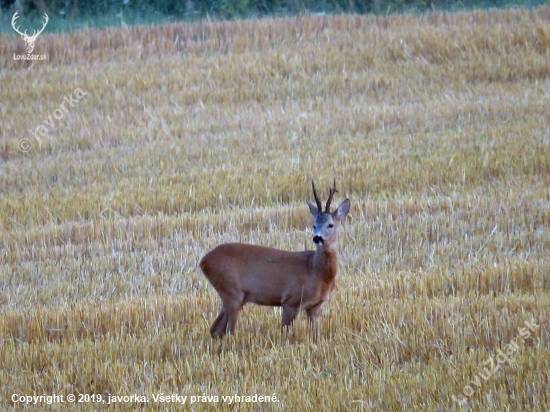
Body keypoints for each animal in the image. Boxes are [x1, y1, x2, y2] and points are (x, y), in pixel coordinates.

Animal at [201, 180, 352, 338]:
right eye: (313, 225)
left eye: (330, 225)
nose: (317, 238)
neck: (316, 271)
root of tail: (203, 261)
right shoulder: (290, 301)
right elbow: (286, 334)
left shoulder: (315, 306)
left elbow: (316, 336)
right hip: (231, 291)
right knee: (229, 331)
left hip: (236, 296)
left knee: (216, 329)